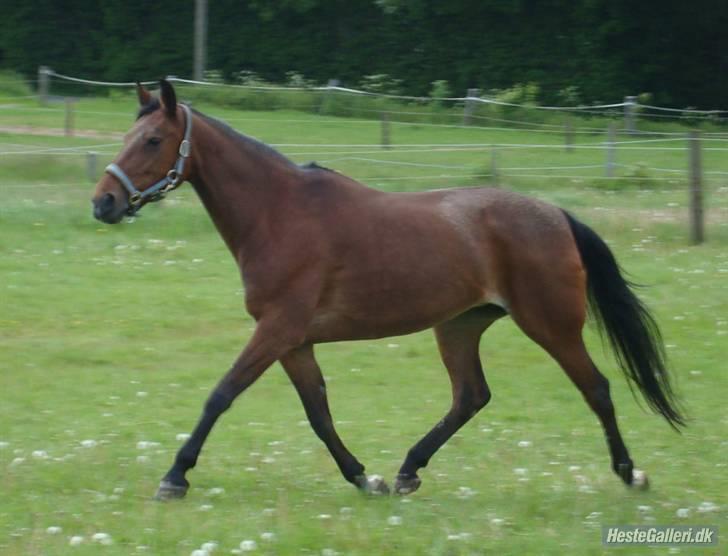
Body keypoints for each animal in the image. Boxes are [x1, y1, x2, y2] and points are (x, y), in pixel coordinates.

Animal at [91, 81, 684, 500]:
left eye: (153, 140)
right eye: (125, 138)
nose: (103, 204)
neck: (279, 213)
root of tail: (556, 216)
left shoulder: (277, 329)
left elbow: (221, 394)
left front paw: (175, 476)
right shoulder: (295, 341)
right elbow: (318, 413)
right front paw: (363, 478)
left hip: (552, 326)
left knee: (596, 389)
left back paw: (630, 474)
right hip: (459, 326)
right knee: (471, 396)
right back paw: (406, 471)